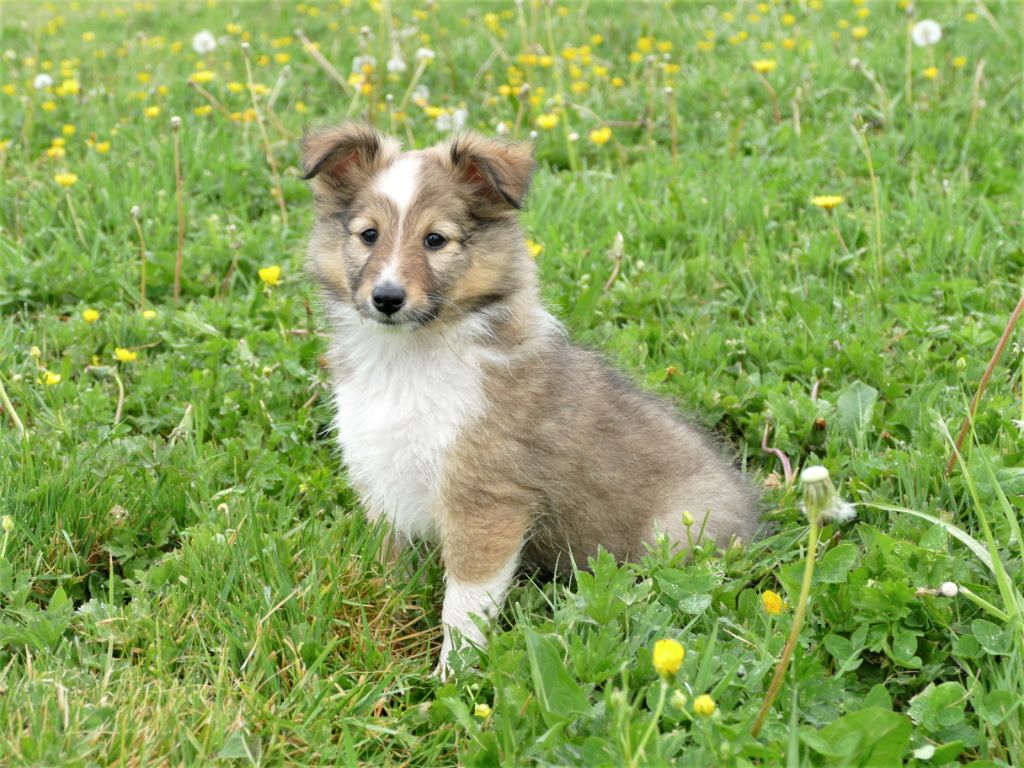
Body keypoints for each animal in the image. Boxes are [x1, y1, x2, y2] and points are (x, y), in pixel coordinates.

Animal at [301, 123, 759, 676]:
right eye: (368, 234)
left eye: (435, 240)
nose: (387, 298)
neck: (408, 360)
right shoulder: (382, 479)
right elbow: (391, 564)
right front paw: (387, 613)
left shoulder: (486, 500)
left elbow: (463, 606)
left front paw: (450, 678)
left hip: (675, 534)